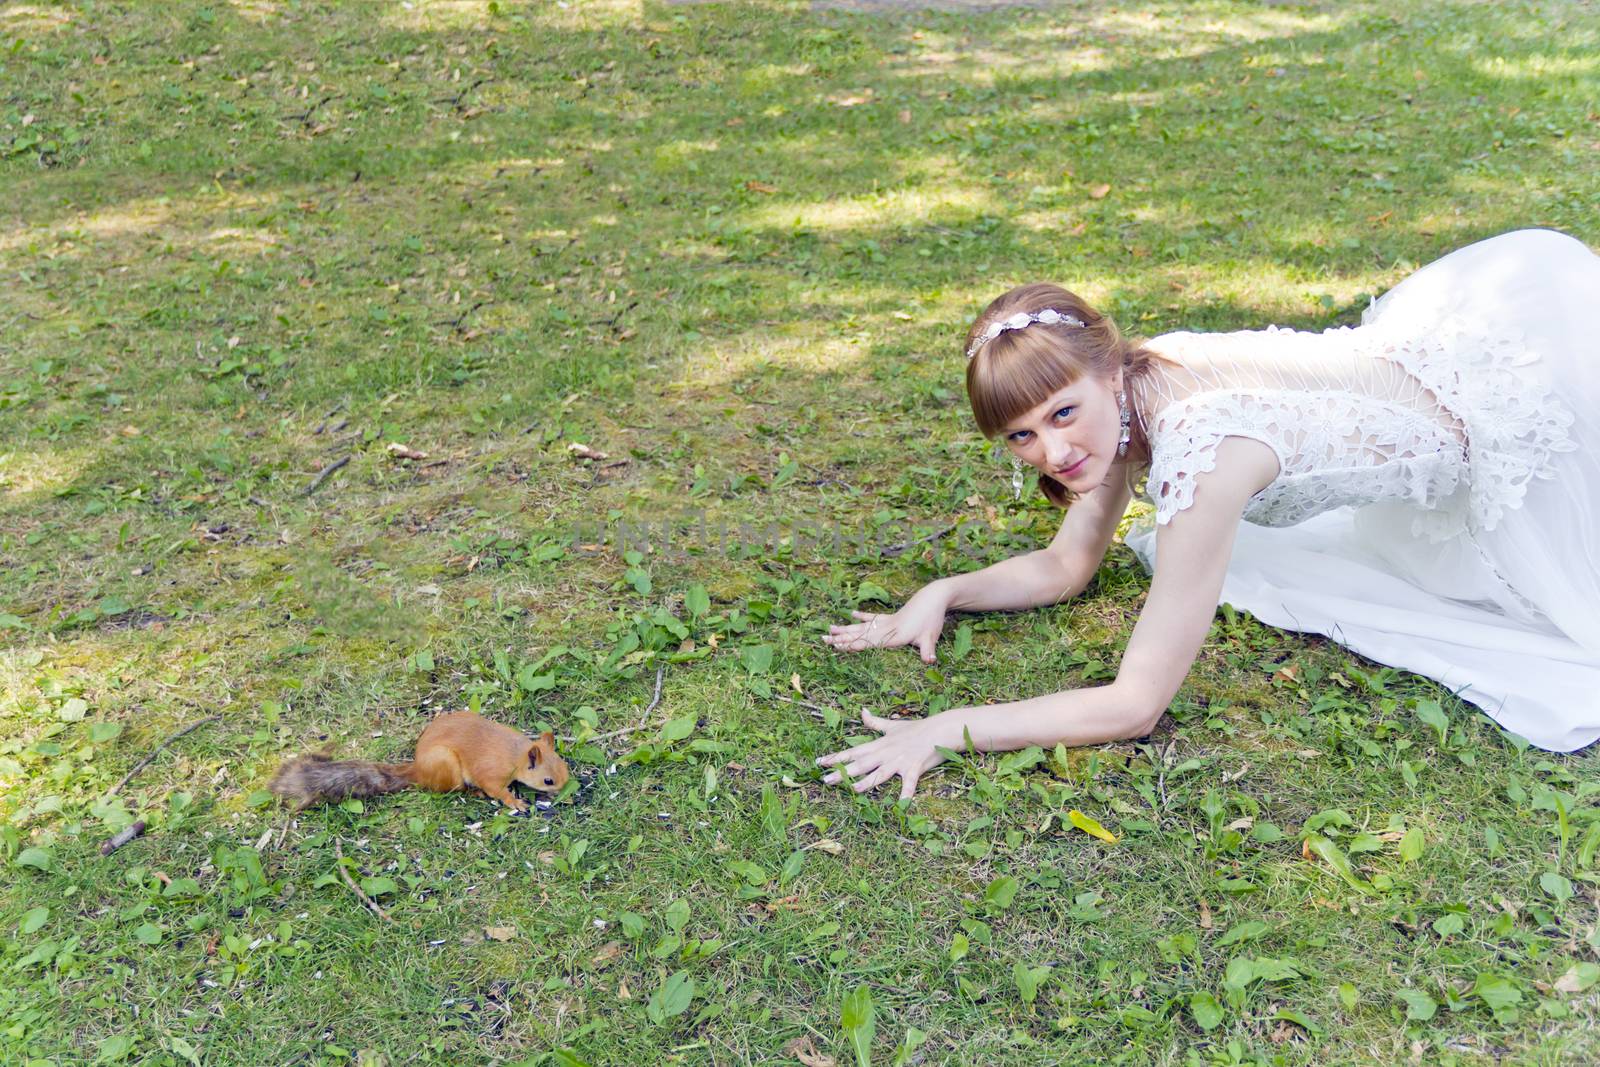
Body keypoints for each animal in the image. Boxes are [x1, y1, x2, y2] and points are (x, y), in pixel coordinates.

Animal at [272, 713, 572, 812]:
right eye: (548, 780)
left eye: (566, 769)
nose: (565, 793)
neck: (515, 754)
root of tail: (417, 769)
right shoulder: (491, 772)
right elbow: (496, 788)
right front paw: (515, 802)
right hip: (447, 765)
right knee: (452, 789)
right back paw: (472, 792)